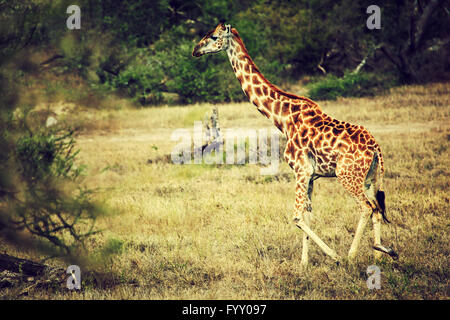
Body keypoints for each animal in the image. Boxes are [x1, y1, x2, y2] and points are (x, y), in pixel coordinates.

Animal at [191, 22, 398, 264]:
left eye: (214, 37)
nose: (195, 50)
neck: (282, 118)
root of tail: (376, 148)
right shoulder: (311, 175)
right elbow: (307, 215)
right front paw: (304, 264)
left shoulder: (301, 170)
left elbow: (297, 216)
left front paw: (332, 256)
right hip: (369, 177)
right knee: (376, 208)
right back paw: (380, 254)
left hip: (347, 175)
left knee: (367, 207)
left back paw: (351, 255)